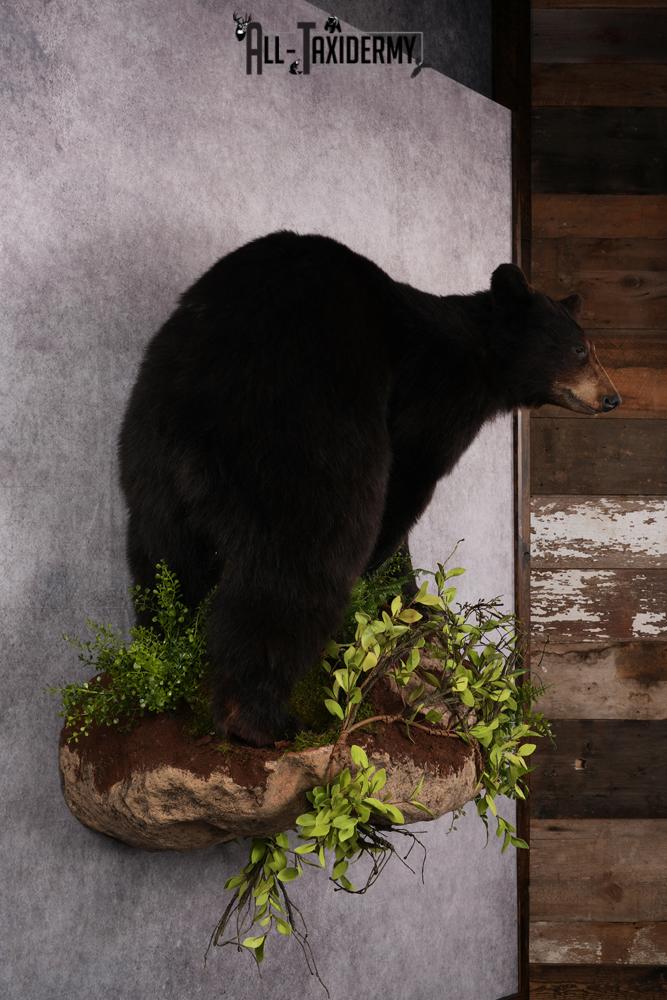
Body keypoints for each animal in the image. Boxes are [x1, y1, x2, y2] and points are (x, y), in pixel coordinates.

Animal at [118, 230, 621, 746]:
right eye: (581, 349)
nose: (612, 397)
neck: (482, 362)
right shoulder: (432, 401)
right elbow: (405, 486)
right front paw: (398, 594)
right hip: (301, 432)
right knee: (299, 560)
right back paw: (260, 717)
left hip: (151, 451)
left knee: (163, 557)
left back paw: (165, 657)